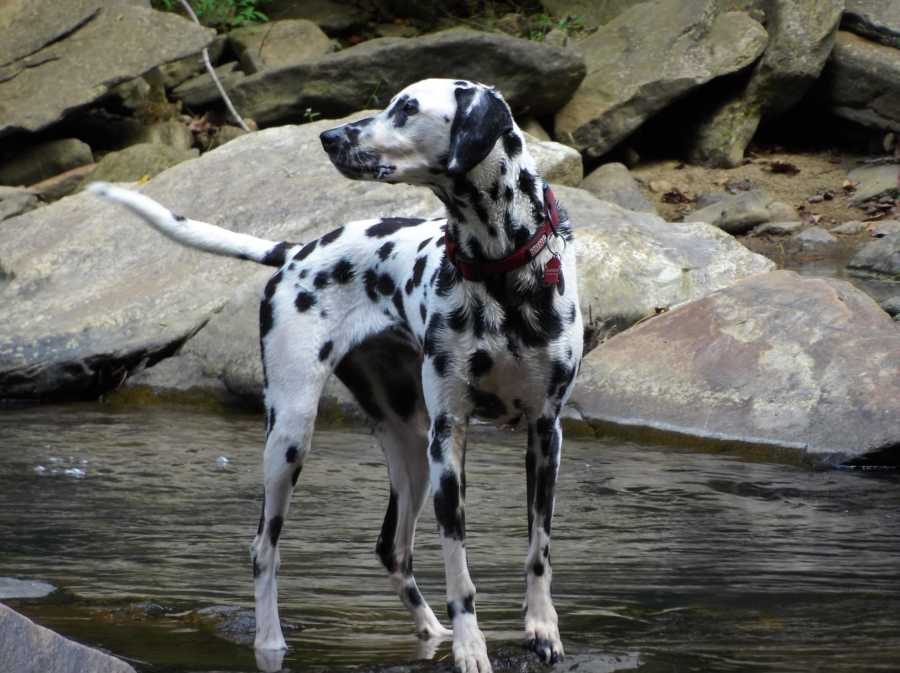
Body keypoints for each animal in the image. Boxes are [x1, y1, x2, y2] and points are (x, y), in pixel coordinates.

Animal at [89, 79, 584, 672]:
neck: (500, 271)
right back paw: (271, 642)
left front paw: (543, 629)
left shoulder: (544, 435)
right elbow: (459, 572)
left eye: (407, 108)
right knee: (264, 549)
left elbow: (539, 551)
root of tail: (295, 250)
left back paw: (431, 632)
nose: (328, 136)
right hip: (293, 437)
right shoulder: (450, 441)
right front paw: (471, 648)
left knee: (392, 549)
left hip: (410, 451)